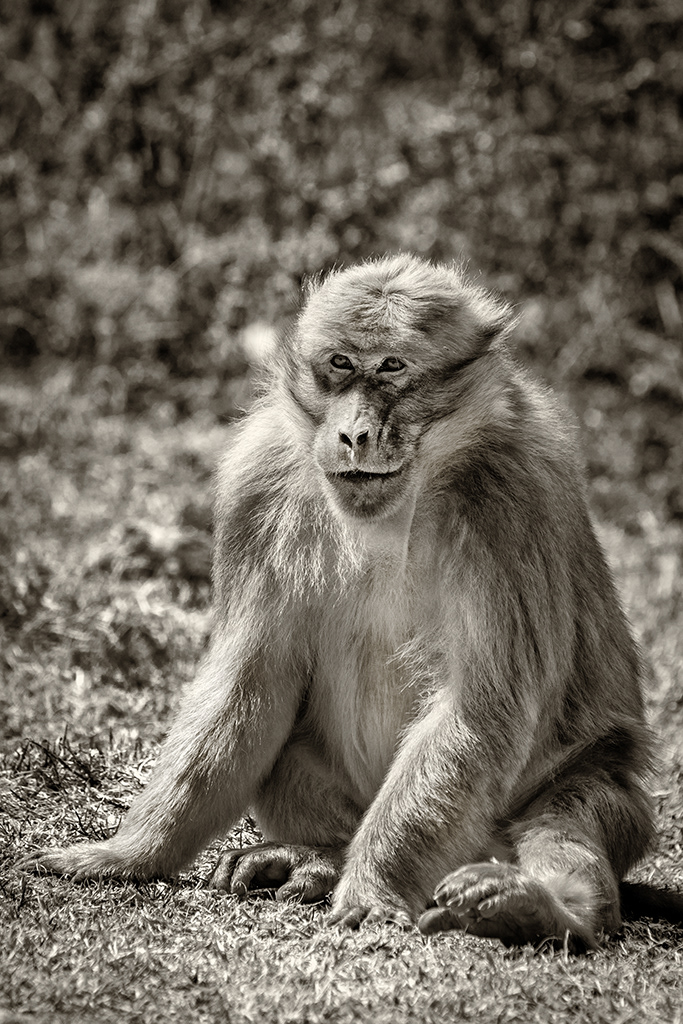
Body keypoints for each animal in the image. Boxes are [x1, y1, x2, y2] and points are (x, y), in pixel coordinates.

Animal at [22, 253, 666, 950]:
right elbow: (248, 681)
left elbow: (480, 710)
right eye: (340, 363)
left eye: (392, 367)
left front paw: (373, 886)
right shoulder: (259, 482)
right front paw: (130, 853)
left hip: (603, 804)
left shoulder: (512, 499)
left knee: (569, 810)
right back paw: (321, 857)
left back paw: (544, 908)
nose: (355, 432)